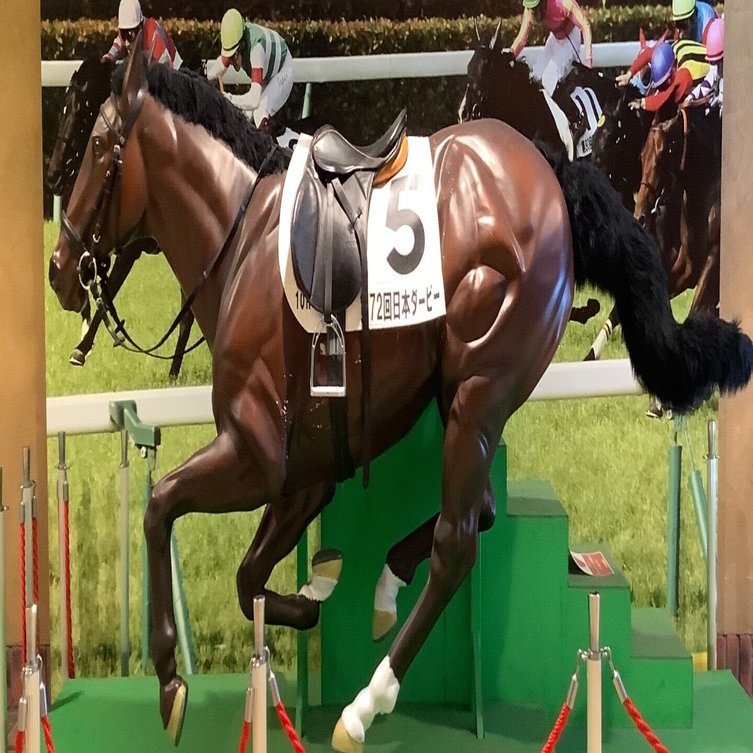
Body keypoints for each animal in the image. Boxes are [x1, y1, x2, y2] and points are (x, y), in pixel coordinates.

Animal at [49, 39, 753, 751]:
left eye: (98, 143)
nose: (59, 270)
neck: (245, 240)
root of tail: (546, 169)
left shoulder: (256, 453)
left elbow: (161, 508)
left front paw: (170, 678)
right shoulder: (304, 473)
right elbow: (249, 580)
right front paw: (316, 586)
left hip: (478, 390)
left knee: (457, 543)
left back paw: (367, 703)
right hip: (465, 398)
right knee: (480, 510)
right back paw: (386, 586)